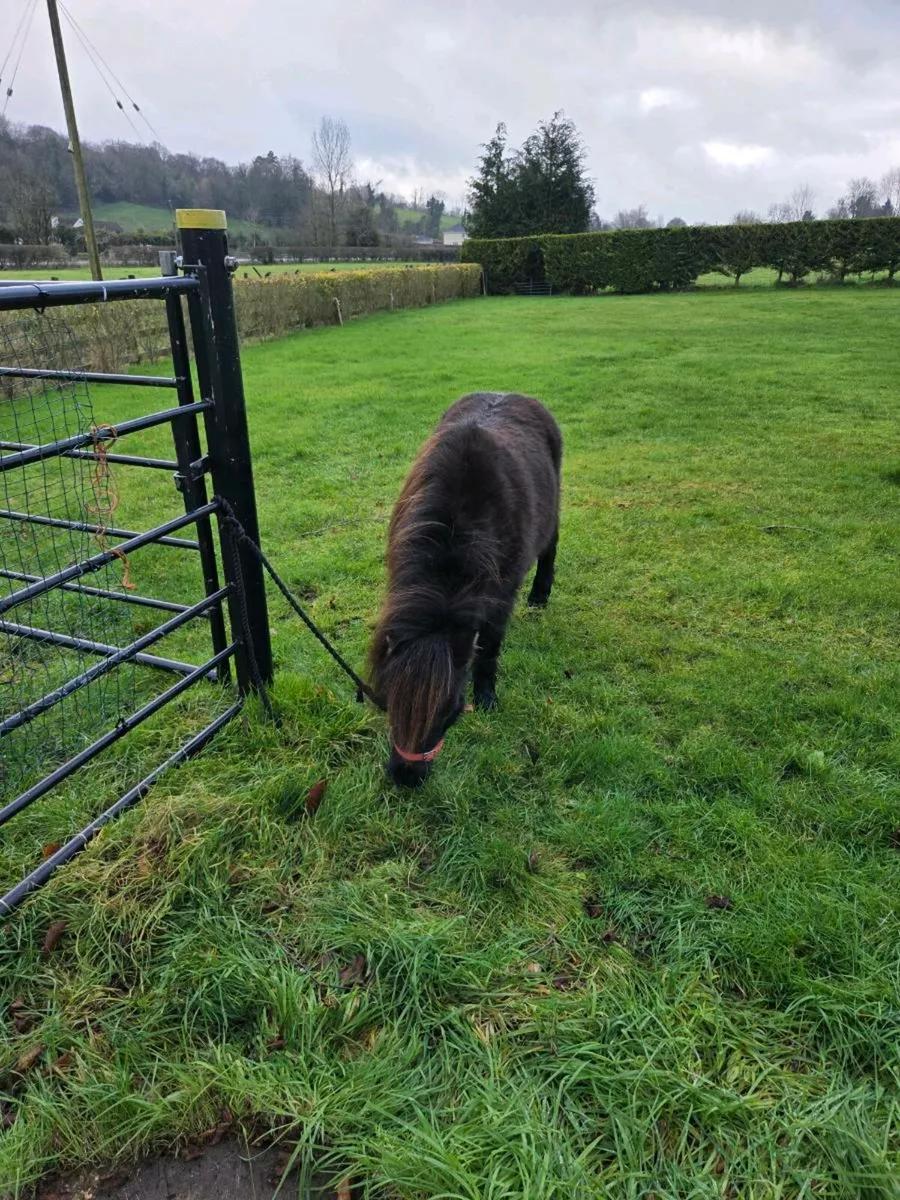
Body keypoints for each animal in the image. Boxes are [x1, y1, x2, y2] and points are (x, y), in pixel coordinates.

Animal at [369, 391, 562, 787]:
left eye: (451, 710)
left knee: (550, 548)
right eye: (387, 700)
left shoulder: (500, 598)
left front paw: (487, 697)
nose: (406, 778)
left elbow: (488, 649)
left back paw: (540, 596)